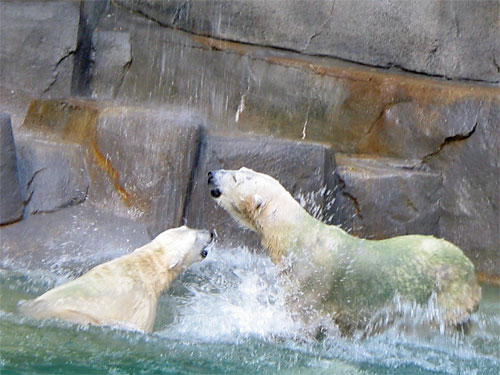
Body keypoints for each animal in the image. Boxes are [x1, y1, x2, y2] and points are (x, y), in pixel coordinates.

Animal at [19, 226, 213, 332]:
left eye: (188, 227)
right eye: (196, 238)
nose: (211, 233)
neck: (145, 270)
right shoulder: (142, 304)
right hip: (72, 314)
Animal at [207, 169, 480, 336]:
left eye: (235, 178)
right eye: (240, 169)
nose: (210, 174)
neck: (296, 239)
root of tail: (470, 268)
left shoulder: (310, 284)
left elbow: (300, 319)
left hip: (448, 294)